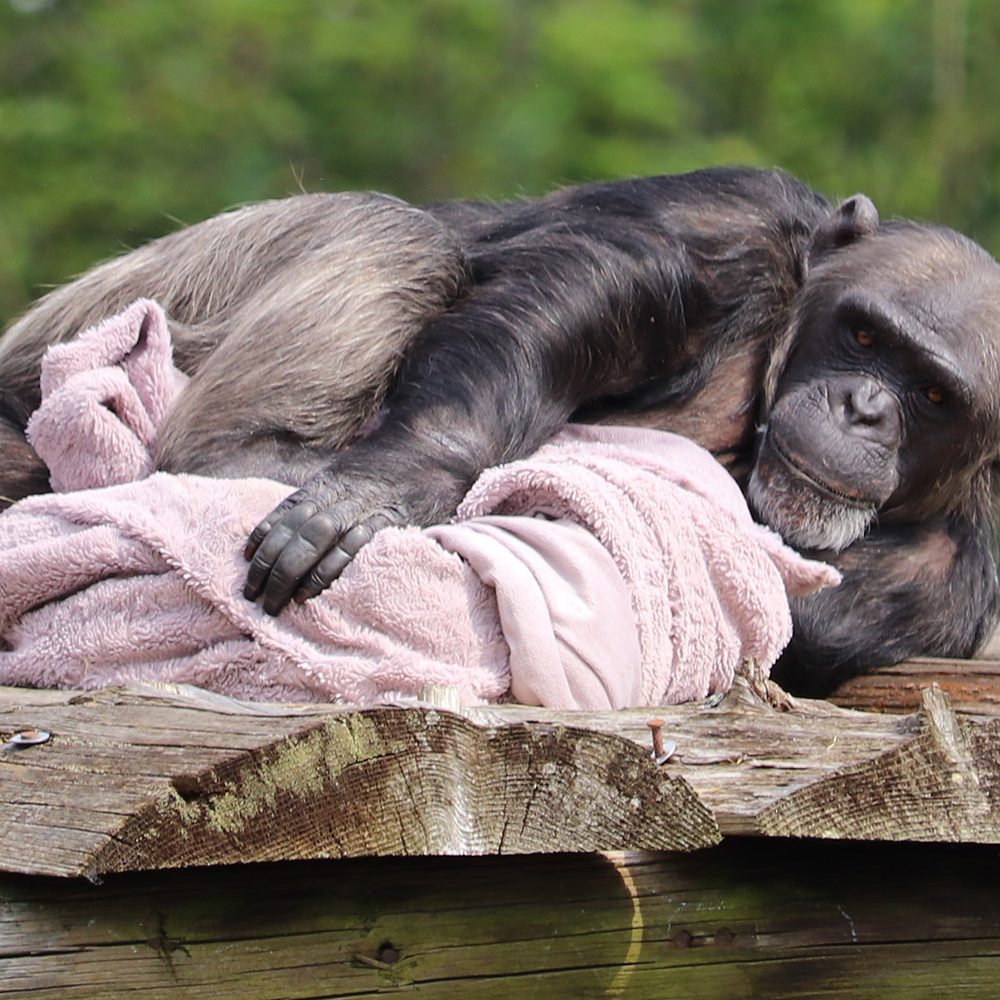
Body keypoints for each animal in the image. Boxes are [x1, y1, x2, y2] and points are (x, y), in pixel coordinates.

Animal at [1, 166, 1000, 696]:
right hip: (139, 291)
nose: (865, 408)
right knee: (401, 234)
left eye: (932, 394)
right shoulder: (737, 226)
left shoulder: (934, 592)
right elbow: (589, 285)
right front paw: (389, 487)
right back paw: (243, 461)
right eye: (863, 335)